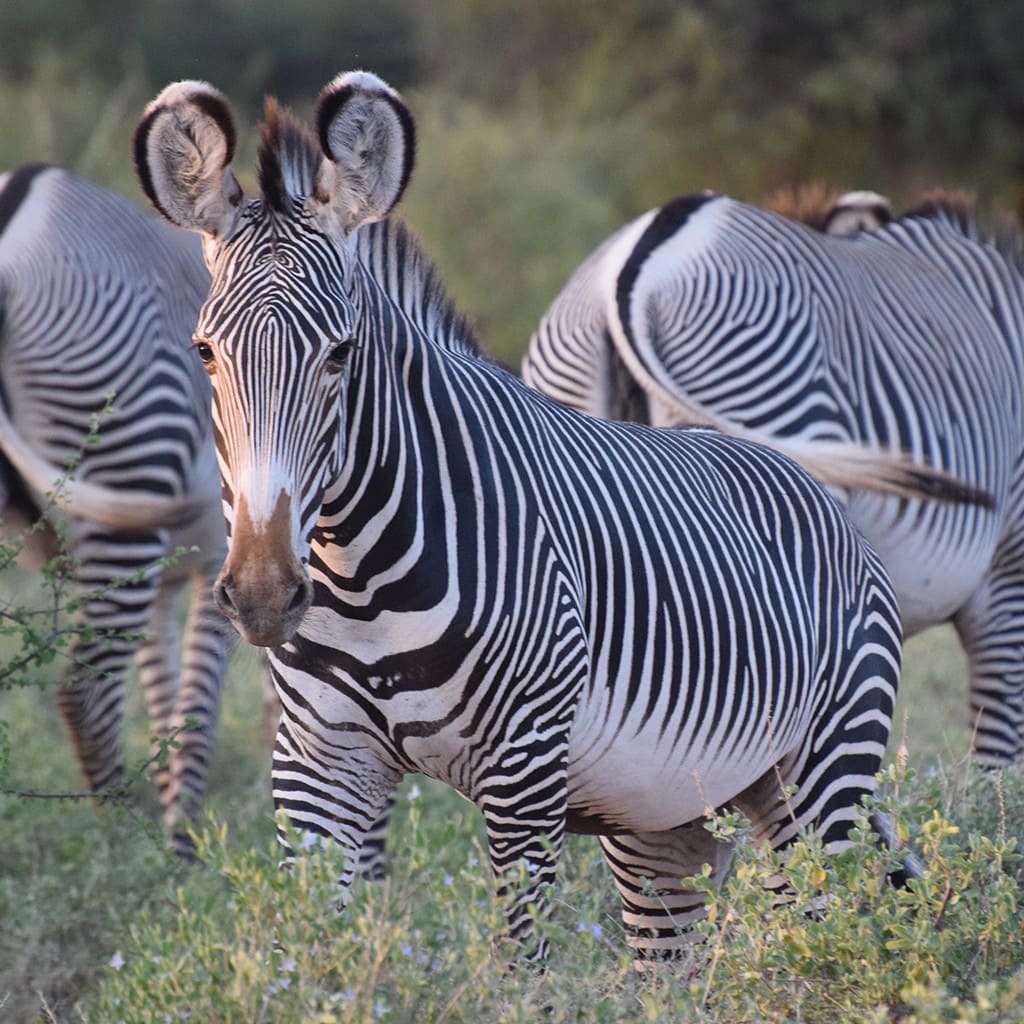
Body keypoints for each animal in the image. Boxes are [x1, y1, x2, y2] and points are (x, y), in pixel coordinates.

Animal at [0, 164, 235, 854]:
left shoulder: (168, 577)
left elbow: (163, 694)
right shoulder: (222, 559)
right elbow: (198, 703)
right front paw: (182, 840)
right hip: (127, 447)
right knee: (86, 691)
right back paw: (127, 849)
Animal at [134, 70, 910, 960]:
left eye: (341, 353)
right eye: (204, 352)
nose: (263, 594)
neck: (360, 577)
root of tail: (805, 482)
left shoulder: (526, 773)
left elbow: (519, 962)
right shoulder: (317, 769)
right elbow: (311, 954)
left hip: (821, 779)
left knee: (831, 941)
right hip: (669, 817)